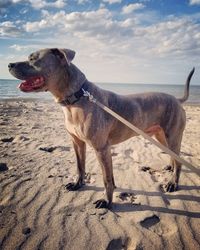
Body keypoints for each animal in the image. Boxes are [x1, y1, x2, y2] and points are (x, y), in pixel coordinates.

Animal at [8, 47, 195, 208]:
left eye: (33, 58)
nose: (9, 64)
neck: (76, 98)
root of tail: (176, 99)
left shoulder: (101, 149)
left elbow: (107, 179)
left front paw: (106, 201)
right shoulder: (77, 143)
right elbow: (80, 166)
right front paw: (78, 184)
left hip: (173, 136)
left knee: (179, 160)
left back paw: (173, 182)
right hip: (160, 136)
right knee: (174, 156)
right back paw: (170, 167)